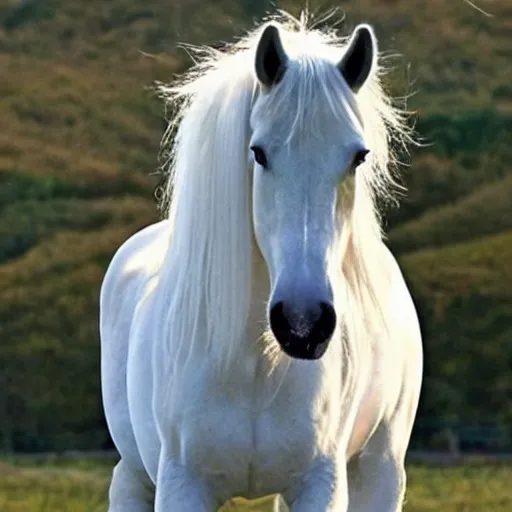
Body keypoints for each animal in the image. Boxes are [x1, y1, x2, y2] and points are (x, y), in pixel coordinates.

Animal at [100, 13, 424, 512]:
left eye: (358, 156)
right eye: (259, 152)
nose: (303, 323)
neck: (255, 363)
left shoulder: (321, 484)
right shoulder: (181, 483)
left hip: (380, 470)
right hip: (134, 478)